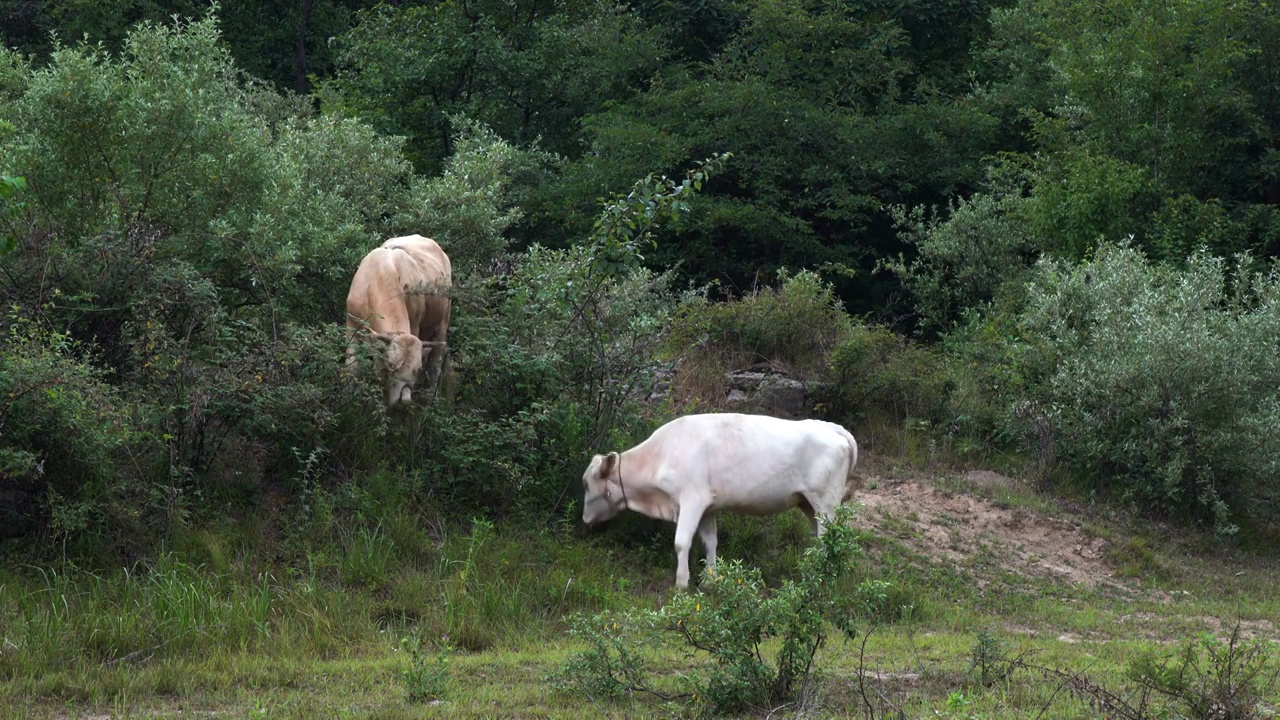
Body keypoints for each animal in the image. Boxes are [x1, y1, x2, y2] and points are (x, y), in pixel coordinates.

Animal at [348, 234, 453, 407]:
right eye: (392, 365)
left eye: (417, 369)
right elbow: (351, 369)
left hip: (443, 324)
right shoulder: (351, 328)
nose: (403, 400)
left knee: (435, 366)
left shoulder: (415, 326)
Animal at [581, 412, 860, 586]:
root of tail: (829, 426)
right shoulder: (708, 508)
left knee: (828, 540)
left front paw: (682, 583)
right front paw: (710, 580)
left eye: (586, 484)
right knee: (818, 540)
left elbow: (681, 542)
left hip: (826, 503)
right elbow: (710, 542)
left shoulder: (692, 500)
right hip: (808, 503)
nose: (584, 519)